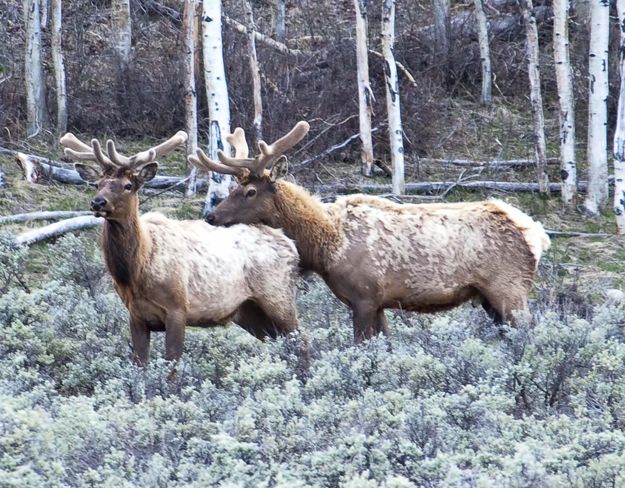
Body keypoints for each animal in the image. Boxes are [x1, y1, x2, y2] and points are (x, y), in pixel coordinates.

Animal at [59, 130, 304, 366]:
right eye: (97, 184)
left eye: (128, 186)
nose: (98, 202)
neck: (136, 270)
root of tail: (291, 245)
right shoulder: (136, 315)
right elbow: (140, 367)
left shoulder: (178, 309)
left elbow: (172, 368)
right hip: (249, 312)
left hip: (278, 297)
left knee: (302, 341)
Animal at [188, 122, 548, 344]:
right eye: (233, 188)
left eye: (249, 191)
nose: (211, 216)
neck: (325, 247)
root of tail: (536, 233)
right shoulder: (378, 303)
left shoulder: (364, 296)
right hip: (489, 297)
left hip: (509, 288)